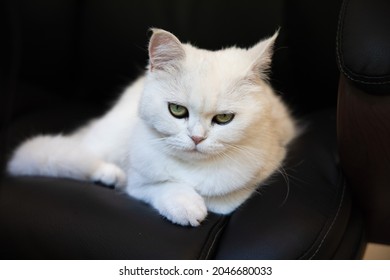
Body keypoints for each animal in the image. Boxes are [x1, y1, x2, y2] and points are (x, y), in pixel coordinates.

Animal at [7, 28, 296, 226]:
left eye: (224, 118)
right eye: (177, 110)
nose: (197, 138)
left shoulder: (267, 163)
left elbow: (221, 201)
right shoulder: (139, 184)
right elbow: (162, 186)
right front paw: (188, 207)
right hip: (105, 140)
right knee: (79, 155)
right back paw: (110, 175)